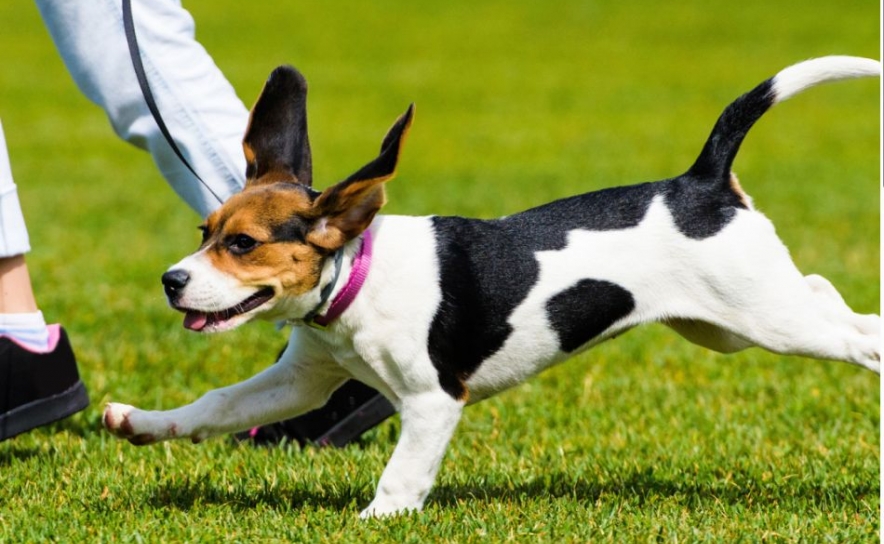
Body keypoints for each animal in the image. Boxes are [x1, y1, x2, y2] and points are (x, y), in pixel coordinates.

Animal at [102, 56, 876, 520]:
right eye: (204, 230)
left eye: (242, 245)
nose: (171, 282)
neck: (355, 275)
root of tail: (701, 180)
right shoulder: (301, 380)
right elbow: (217, 405)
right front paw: (141, 423)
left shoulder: (431, 402)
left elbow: (401, 474)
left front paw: (375, 520)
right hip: (729, 325)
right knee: (833, 297)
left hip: (768, 320)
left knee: (860, 335)